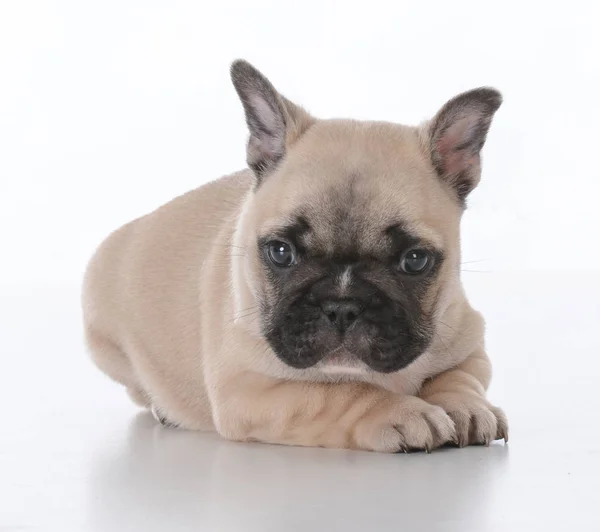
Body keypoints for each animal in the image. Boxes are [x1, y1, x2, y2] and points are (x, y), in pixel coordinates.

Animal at [82, 59, 508, 454]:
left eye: (415, 260)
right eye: (281, 252)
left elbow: (460, 377)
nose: (342, 306)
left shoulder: (469, 342)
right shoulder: (249, 391)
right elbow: (341, 394)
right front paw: (401, 410)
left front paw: (466, 407)